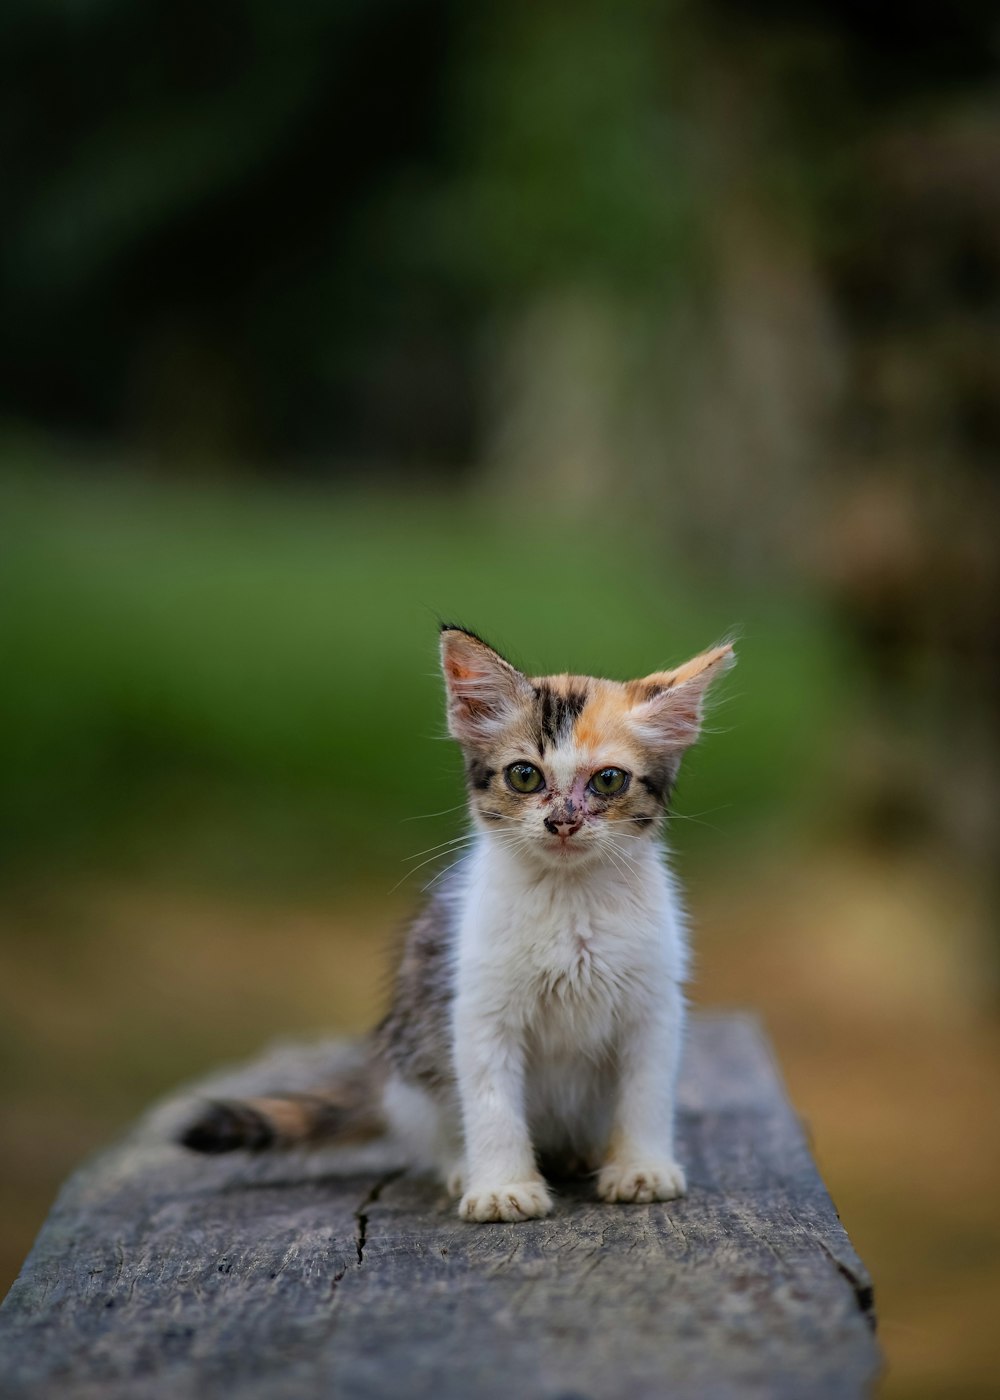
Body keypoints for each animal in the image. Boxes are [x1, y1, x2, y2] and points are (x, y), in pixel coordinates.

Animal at [180, 630, 733, 1220]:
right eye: (524, 775)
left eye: (608, 780)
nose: (562, 821)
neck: (569, 899)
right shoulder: (477, 1008)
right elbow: (491, 1103)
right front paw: (502, 1186)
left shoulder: (655, 1007)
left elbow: (646, 1093)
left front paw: (640, 1169)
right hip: (412, 1064)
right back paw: (461, 1166)